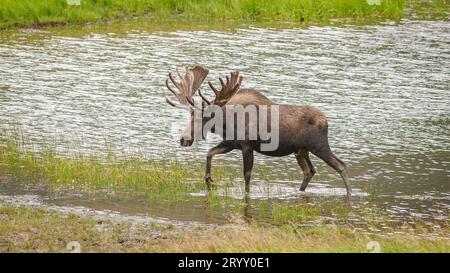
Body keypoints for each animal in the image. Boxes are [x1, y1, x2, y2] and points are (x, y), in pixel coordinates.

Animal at [164, 64, 352, 196]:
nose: (183, 139)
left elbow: (247, 175)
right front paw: (209, 179)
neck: (227, 123)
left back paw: (349, 194)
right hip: (301, 151)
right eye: (190, 116)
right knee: (309, 171)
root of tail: (326, 121)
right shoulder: (230, 143)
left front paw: (246, 194)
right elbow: (210, 153)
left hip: (319, 146)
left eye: (205, 118)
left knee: (340, 166)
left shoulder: (247, 146)